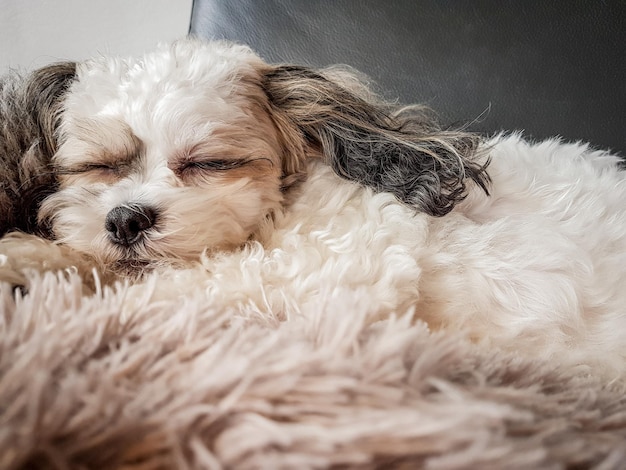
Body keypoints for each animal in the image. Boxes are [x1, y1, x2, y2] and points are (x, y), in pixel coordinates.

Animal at [1, 39, 624, 378]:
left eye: (209, 163)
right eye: (98, 166)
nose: (125, 218)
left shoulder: (328, 272)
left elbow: (180, 280)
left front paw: (32, 263)